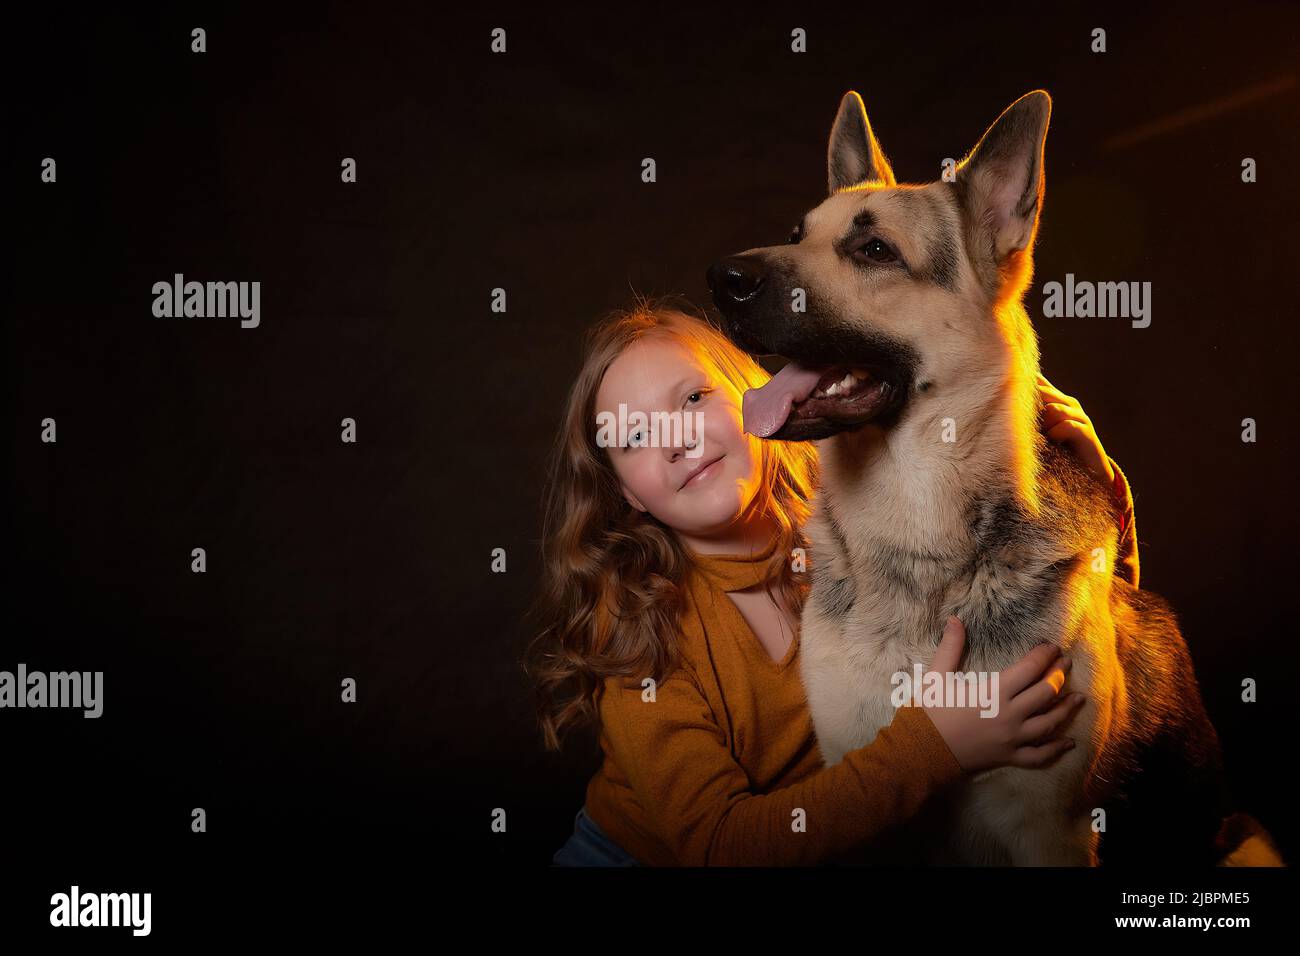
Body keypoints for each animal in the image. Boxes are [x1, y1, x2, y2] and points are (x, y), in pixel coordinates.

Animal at [707, 91, 1232, 868]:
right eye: (796, 233)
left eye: (875, 251)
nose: (722, 279)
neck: (919, 532)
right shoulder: (861, 790)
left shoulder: (1050, 830)